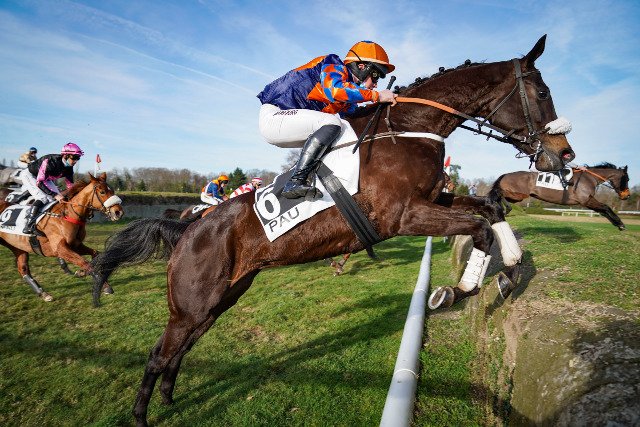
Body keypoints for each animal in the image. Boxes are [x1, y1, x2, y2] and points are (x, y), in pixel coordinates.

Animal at [0, 173, 124, 301]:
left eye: (112, 190)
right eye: (103, 192)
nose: (118, 212)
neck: (67, 215)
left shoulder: (75, 245)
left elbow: (95, 254)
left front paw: (82, 273)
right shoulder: (60, 248)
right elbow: (84, 262)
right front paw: (105, 286)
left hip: (18, 247)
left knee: (23, 269)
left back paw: (43, 293)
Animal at [90, 35, 574, 426]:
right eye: (543, 91)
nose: (564, 154)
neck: (408, 131)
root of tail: (187, 231)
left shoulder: (432, 201)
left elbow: (490, 209)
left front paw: (511, 270)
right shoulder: (402, 216)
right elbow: (479, 229)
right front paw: (457, 290)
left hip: (220, 299)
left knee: (180, 350)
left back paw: (168, 400)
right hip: (192, 304)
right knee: (159, 354)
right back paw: (141, 416)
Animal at [488, 163, 630, 230]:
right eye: (627, 179)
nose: (627, 196)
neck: (590, 178)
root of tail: (505, 175)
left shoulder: (588, 201)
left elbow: (603, 210)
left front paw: (617, 223)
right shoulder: (586, 200)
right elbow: (606, 207)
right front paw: (620, 224)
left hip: (516, 196)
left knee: (500, 195)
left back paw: (504, 209)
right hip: (518, 194)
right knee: (498, 193)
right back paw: (505, 208)